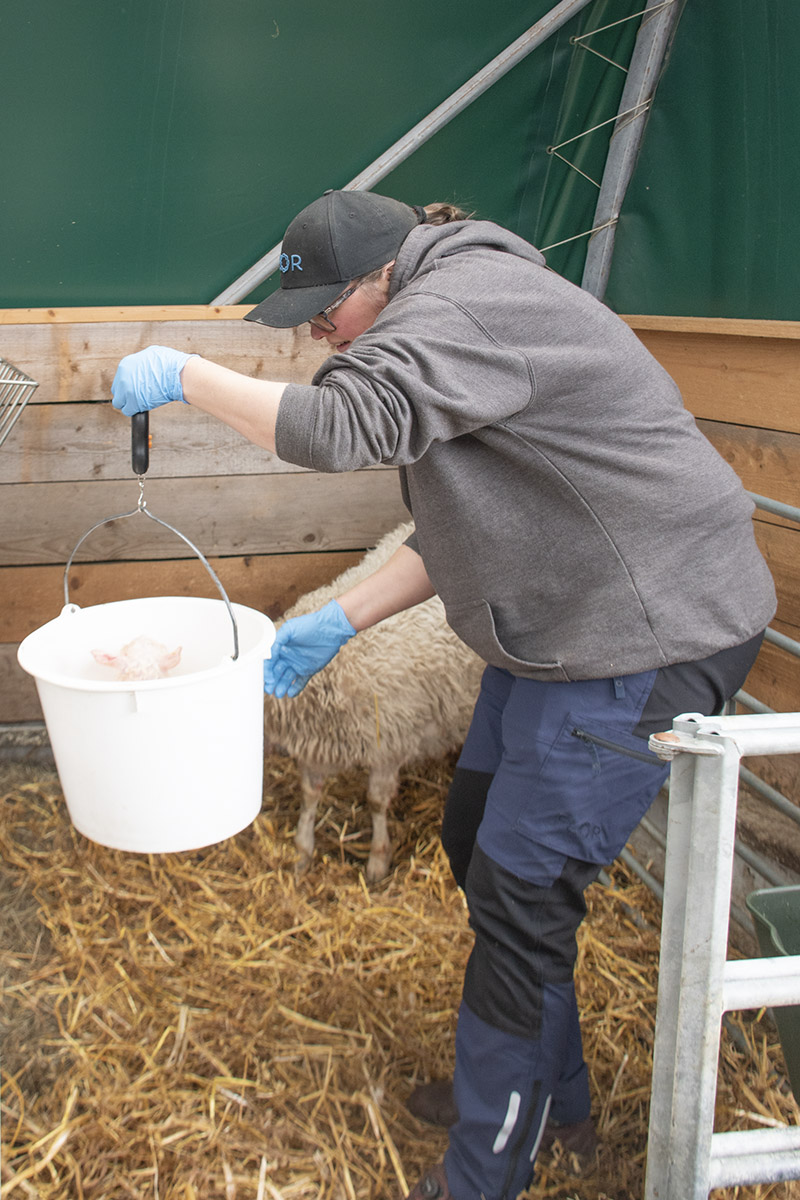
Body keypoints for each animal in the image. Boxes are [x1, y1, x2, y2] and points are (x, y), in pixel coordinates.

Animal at [263, 521, 485, 882]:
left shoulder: (389, 743)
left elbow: (377, 801)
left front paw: (378, 859)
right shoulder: (315, 746)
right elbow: (310, 795)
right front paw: (302, 852)